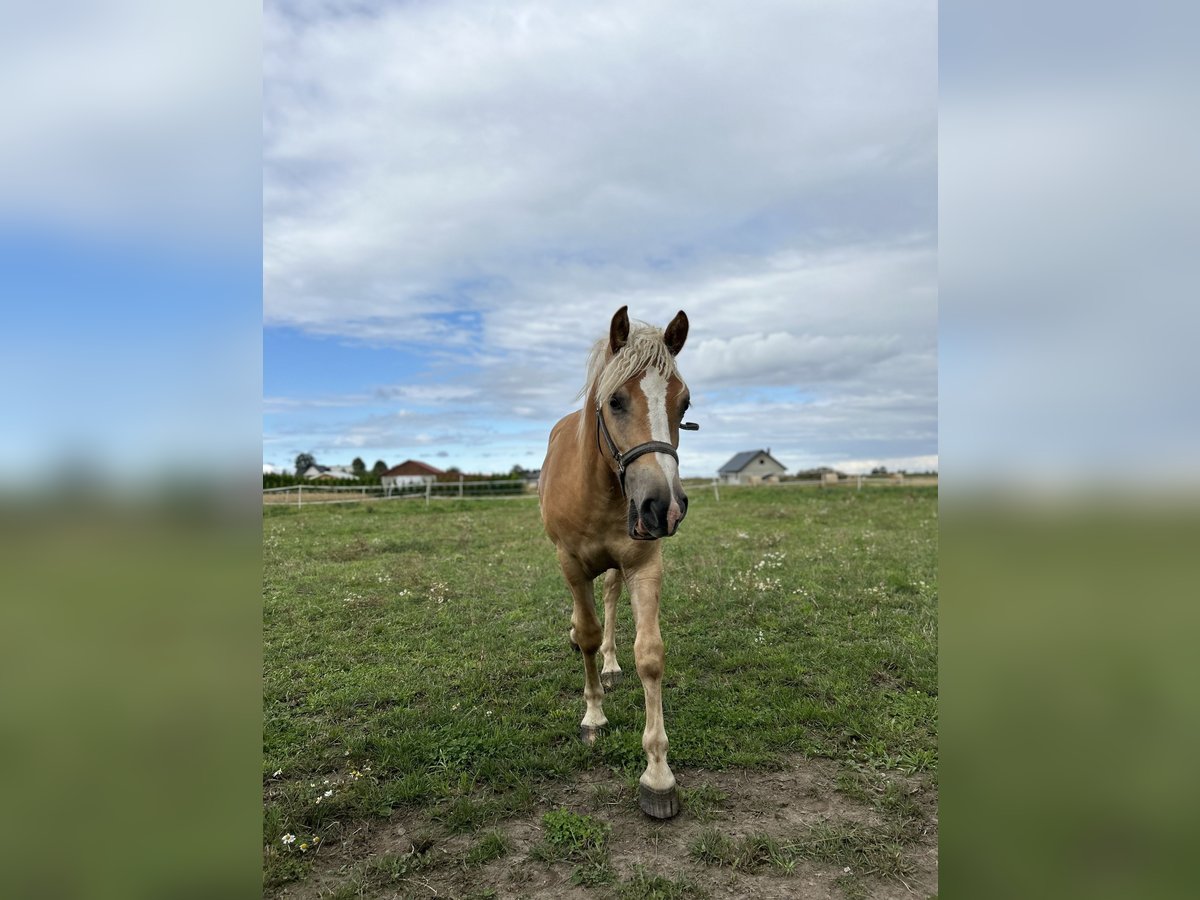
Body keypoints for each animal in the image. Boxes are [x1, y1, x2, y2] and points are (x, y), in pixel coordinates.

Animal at [540, 307, 700, 820]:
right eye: (615, 400)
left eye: (683, 404)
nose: (663, 506)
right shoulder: (571, 565)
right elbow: (588, 633)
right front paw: (593, 716)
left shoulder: (645, 565)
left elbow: (649, 655)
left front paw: (658, 775)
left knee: (610, 599)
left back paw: (610, 666)